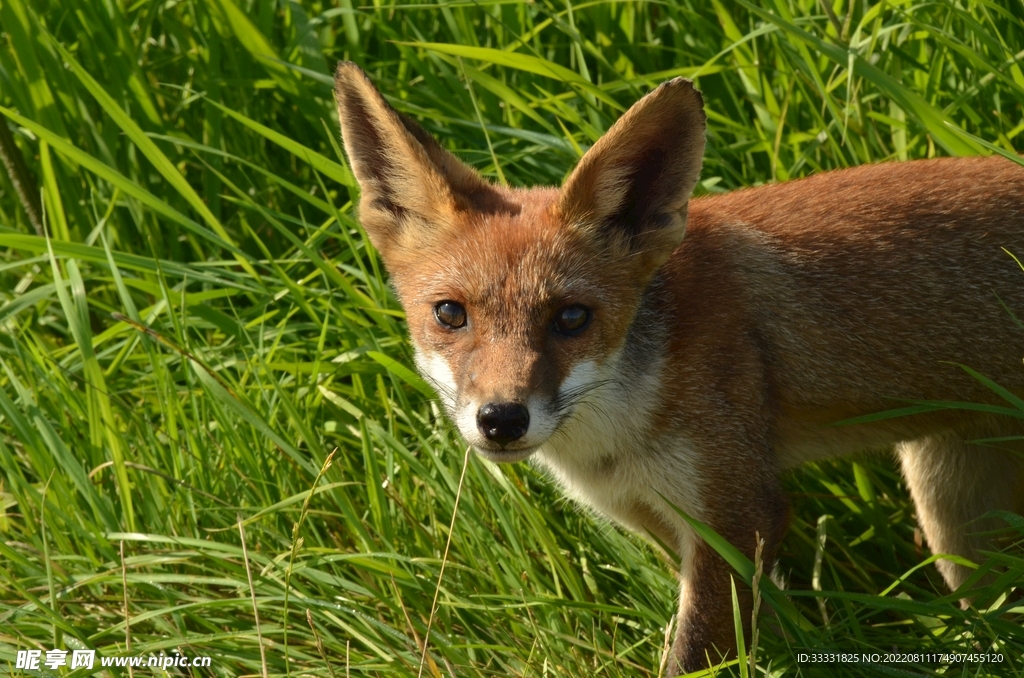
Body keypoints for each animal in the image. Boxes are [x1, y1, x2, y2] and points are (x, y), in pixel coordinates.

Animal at [333, 62, 1024, 675]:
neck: (619, 430)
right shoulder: (662, 519)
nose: (501, 419)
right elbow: (755, 630)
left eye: (572, 317)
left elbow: (693, 653)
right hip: (953, 510)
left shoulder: (739, 510)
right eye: (450, 314)